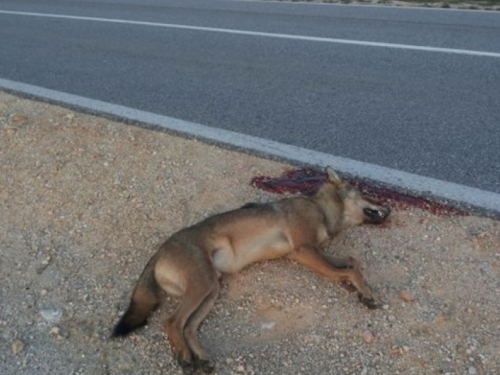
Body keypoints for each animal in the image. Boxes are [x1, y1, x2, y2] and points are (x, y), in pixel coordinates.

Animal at [113, 168, 390, 375]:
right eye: (366, 193)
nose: (389, 208)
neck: (320, 207)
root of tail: (159, 251)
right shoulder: (304, 251)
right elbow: (348, 270)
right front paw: (366, 293)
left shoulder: (307, 253)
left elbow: (352, 263)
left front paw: (359, 288)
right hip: (202, 286)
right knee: (171, 322)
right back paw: (185, 357)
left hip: (211, 290)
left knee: (188, 327)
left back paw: (201, 357)